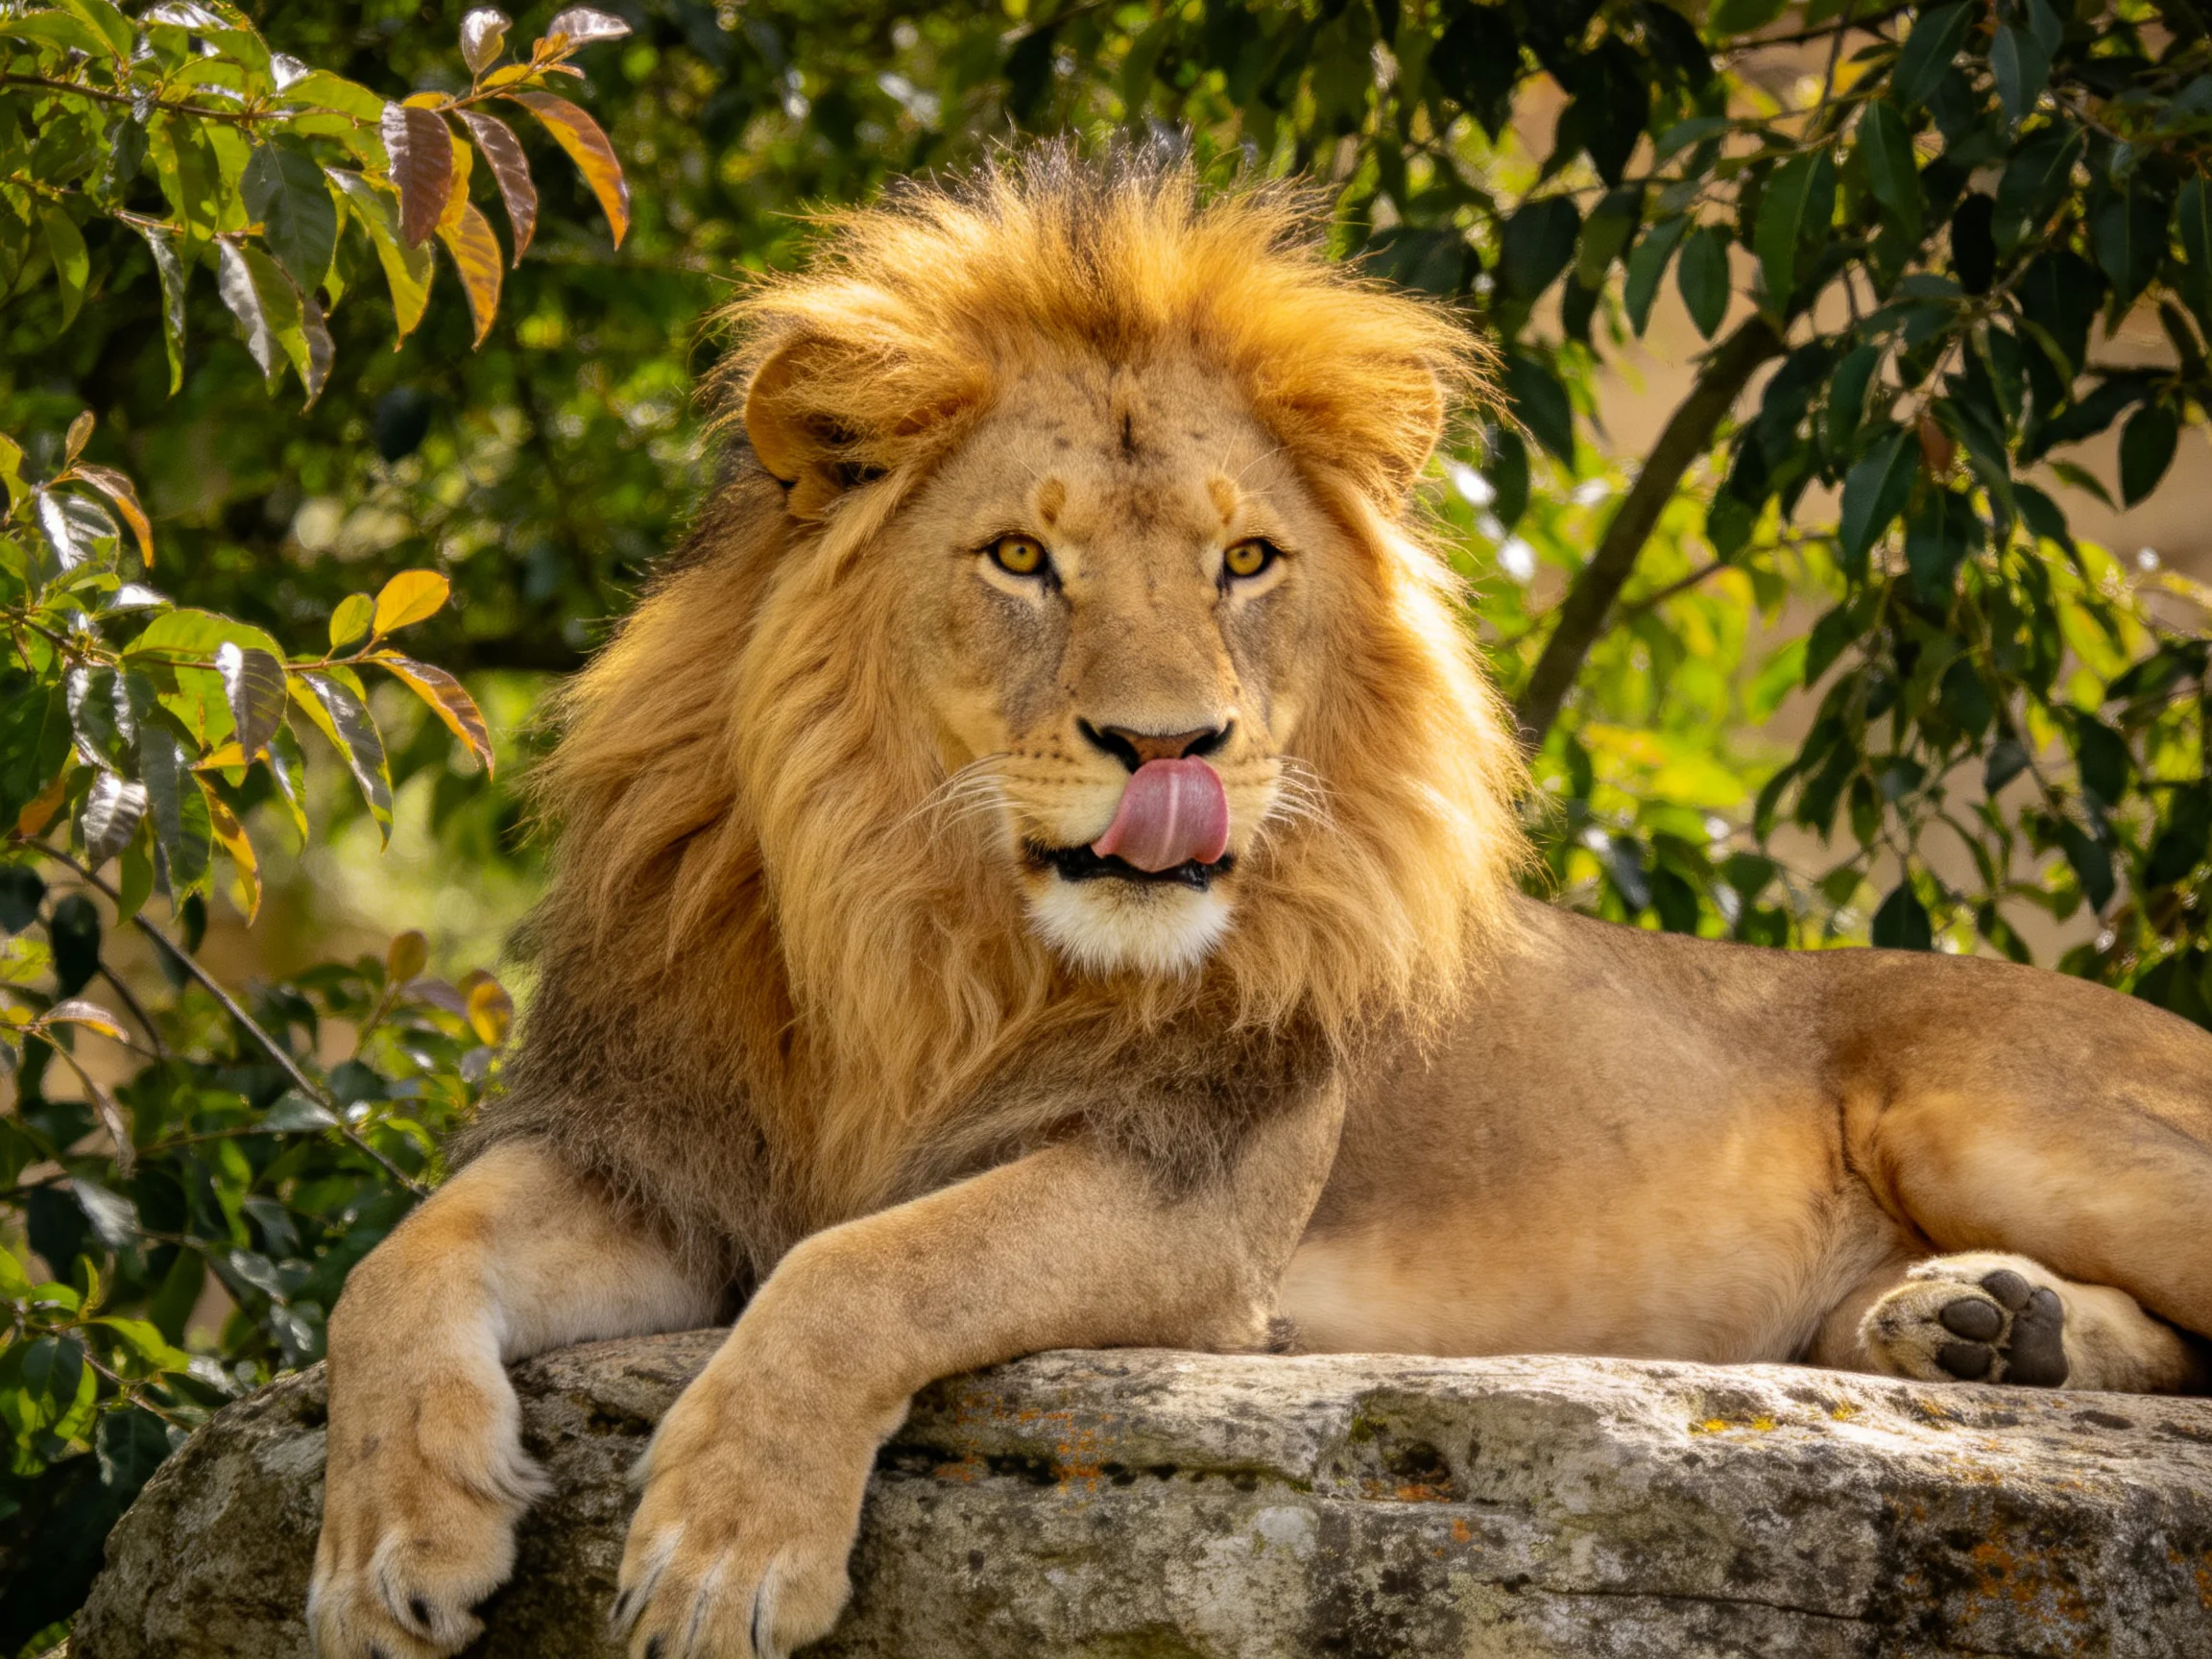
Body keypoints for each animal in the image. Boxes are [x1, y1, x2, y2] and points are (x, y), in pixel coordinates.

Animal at [308, 149, 2212, 1659]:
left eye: (1244, 562)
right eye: (1021, 558)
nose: (1173, 746)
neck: (918, 936)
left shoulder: (1193, 1194)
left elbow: (869, 1264)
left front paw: (724, 1549)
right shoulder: (662, 1150)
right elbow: (399, 1263)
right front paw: (384, 1545)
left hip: (1987, 1102)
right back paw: (1977, 1328)